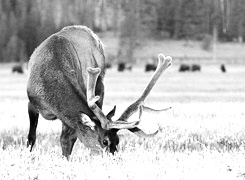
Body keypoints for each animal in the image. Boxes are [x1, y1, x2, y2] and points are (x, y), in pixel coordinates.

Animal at [26, 25, 172, 158]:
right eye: (105, 141)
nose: (115, 159)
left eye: (118, 141)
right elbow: (31, 138)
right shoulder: (32, 102)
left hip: (100, 85)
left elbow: (67, 141)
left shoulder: (68, 118)